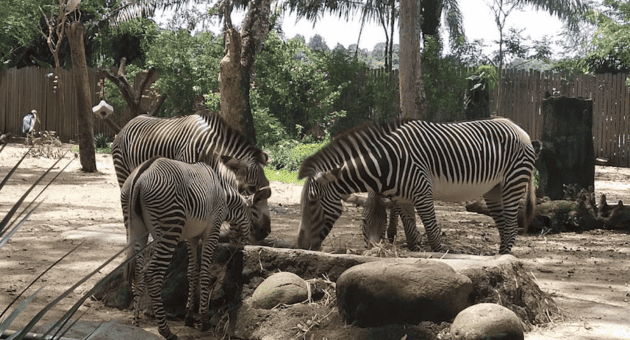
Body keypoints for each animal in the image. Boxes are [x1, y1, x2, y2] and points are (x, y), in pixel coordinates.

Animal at [121, 155, 272, 340]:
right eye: (253, 214)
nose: (263, 234)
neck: (224, 197)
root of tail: (142, 174)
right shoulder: (212, 231)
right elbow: (205, 273)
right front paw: (204, 320)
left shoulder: (191, 238)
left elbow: (192, 272)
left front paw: (189, 317)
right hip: (169, 229)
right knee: (152, 273)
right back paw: (166, 330)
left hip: (136, 229)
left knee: (138, 274)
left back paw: (135, 326)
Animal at [296, 117, 540, 255]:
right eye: (364, 222)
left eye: (313, 202)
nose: (300, 245)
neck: (386, 164)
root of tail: (521, 130)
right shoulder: (402, 199)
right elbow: (412, 236)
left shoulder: (422, 192)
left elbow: (432, 233)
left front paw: (440, 257)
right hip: (493, 190)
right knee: (503, 226)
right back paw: (499, 257)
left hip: (513, 182)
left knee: (511, 226)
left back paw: (505, 258)